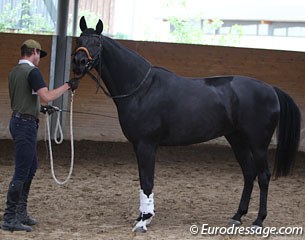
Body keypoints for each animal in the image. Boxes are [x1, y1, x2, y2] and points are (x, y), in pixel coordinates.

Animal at [72, 15, 300, 232]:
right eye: (79, 40)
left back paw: (259, 220)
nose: (79, 62)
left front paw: (144, 221)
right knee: (249, 174)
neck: (141, 89)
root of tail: (270, 89)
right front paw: (142, 216)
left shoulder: (146, 145)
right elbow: (142, 181)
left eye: (97, 43)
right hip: (238, 141)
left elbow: (147, 181)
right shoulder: (138, 146)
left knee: (263, 176)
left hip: (258, 145)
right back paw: (237, 216)